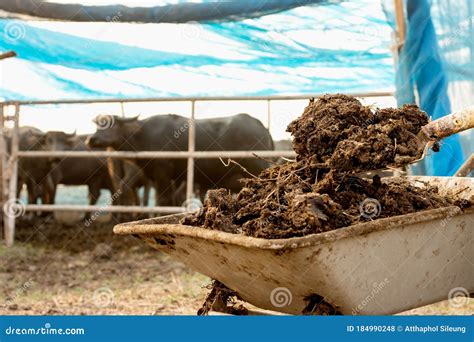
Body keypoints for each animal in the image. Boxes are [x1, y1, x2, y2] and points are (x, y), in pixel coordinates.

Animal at [86, 113, 274, 206]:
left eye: (113, 124)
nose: (91, 139)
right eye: (98, 125)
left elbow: (164, 200)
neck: (144, 135)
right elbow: (174, 199)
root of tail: (262, 127)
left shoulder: (163, 172)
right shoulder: (172, 178)